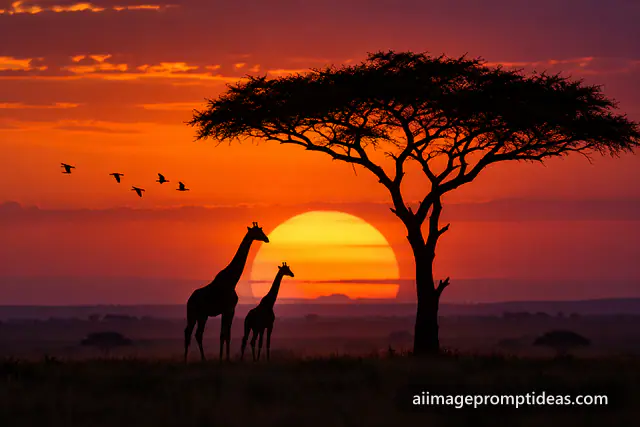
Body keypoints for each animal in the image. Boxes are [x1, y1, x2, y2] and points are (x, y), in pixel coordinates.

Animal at [184, 222, 269, 362]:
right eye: (258, 231)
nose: (266, 239)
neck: (232, 280)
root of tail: (189, 300)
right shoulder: (229, 309)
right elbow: (225, 334)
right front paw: (225, 358)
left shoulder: (227, 311)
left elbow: (224, 334)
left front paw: (223, 357)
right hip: (195, 315)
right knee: (192, 333)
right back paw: (196, 359)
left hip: (201, 316)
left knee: (194, 333)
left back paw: (194, 359)